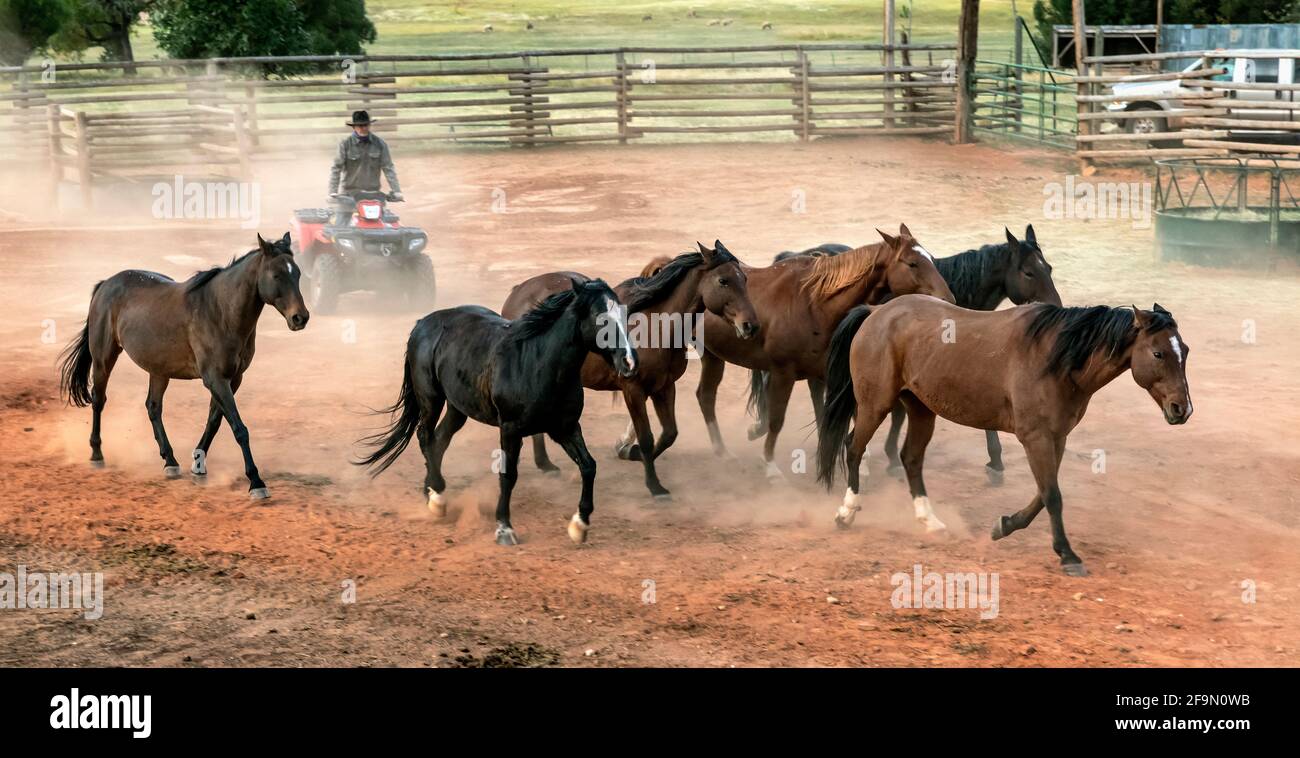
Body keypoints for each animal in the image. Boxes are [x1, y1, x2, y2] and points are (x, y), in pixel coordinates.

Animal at [57, 233, 309, 498]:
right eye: (277, 275)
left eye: (297, 274)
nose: (300, 318)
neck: (220, 311)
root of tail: (106, 284)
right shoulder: (215, 379)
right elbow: (239, 428)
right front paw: (256, 482)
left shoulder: (232, 379)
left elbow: (215, 422)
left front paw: (198, 466)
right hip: (104, 358)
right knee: (99, 400)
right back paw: (97, 454)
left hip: (158, 369)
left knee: (153, 407)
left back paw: (170, 461)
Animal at [356, 279, 638, 546]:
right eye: (601, 318)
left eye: (624, 314)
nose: (629, 363)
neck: (537, 362)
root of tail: (421, 323)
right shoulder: (511, 429)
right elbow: (508, 475)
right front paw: (504, 528)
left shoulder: (565, 427)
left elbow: (589, 466)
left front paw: (579, 526)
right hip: (431, 399)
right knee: (425, 436)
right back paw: (437, 499)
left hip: (457, 408)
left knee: (439, 440)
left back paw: (432, 490)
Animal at [500, 242, 759, 499]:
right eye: (723, 280)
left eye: (745, 279)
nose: (751, 325)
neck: (656, 327)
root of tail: (517, 291)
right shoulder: (633, 389)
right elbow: (646, 438)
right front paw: (654, 485)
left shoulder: (664, 387)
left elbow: (669, 434)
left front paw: (630, 453)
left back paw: (545, 464)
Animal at [695, 224, 955, 479]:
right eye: (912, 263)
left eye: (932, 259)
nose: (948, 300)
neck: (813, 304)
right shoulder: (783, 373)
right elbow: (778, 419)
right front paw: (770, 464)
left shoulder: (823, 374)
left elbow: (827, 415)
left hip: (712, 355)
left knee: (705, 395)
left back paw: (722, 450)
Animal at [816, 297, 1192, 576]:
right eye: (1158, 353)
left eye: (1184, 351)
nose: (1182, 409)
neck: (1056, 360)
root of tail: (876, 312)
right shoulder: (1035, 437)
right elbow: (1052, 495)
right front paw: (1067, 555)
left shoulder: (1056, 437)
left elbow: (1044, 492)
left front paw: (1006, 525)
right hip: (875, 403)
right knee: (854, 447)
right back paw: (846, 513)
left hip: (921, 409)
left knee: (910, 458)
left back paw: (931, 522)